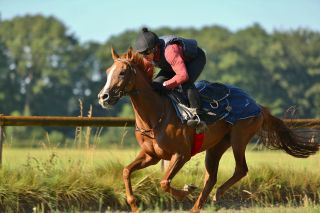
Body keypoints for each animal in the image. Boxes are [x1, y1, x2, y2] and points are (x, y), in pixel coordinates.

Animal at [98, 47, 320, 212]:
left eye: (123, 72)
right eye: (108, 72)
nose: (103, 97)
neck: (155, 116)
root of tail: (258, 105)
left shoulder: (181, 155)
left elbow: (164, 182)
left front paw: (186, 190)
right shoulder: (151, 155)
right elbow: (126, 171)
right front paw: (134, 204)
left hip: (239, 137)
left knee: (240, 169)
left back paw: (217, 195)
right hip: (216, 147)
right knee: (211, 177)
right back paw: (199, 206)